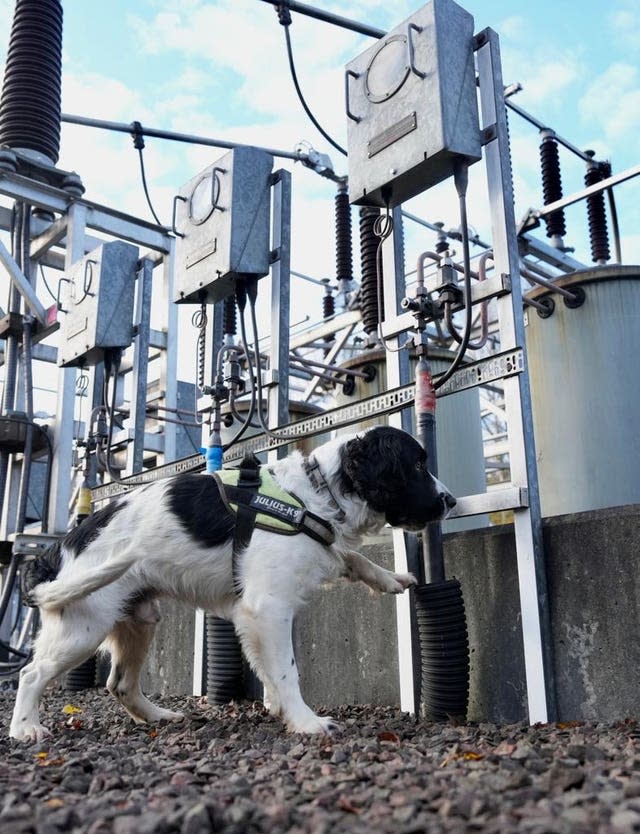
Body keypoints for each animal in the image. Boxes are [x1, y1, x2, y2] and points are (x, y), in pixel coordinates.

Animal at [10, 426, 456, 736]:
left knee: (120, 684)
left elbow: (351, 556)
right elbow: (287, 671)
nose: (451, 500)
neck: (315, 494)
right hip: (83, 628)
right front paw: (306, 722)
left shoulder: (264, 607)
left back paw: (158, 716)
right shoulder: (268, 608)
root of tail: (57, 551)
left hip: (138, 619)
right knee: (31, 673)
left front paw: (389, 577)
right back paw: (25, 729)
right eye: (418, 465)